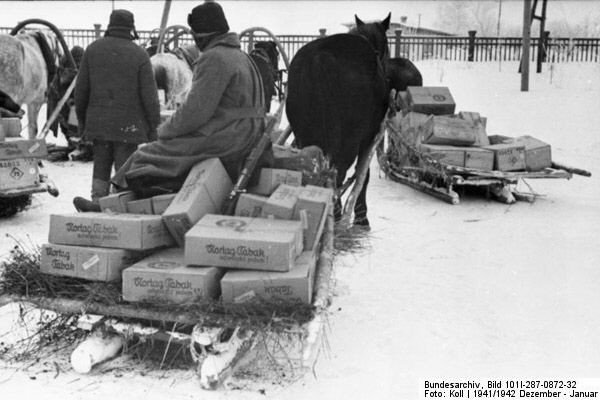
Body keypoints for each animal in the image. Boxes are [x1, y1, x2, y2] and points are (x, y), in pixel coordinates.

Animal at [288, 13, 394, 228]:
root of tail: (319, 59)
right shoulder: (368, 137)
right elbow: (363, 174)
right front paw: (361, 215)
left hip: (304, 135)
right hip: (348, 139)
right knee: (338, 172)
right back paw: (336, 215)